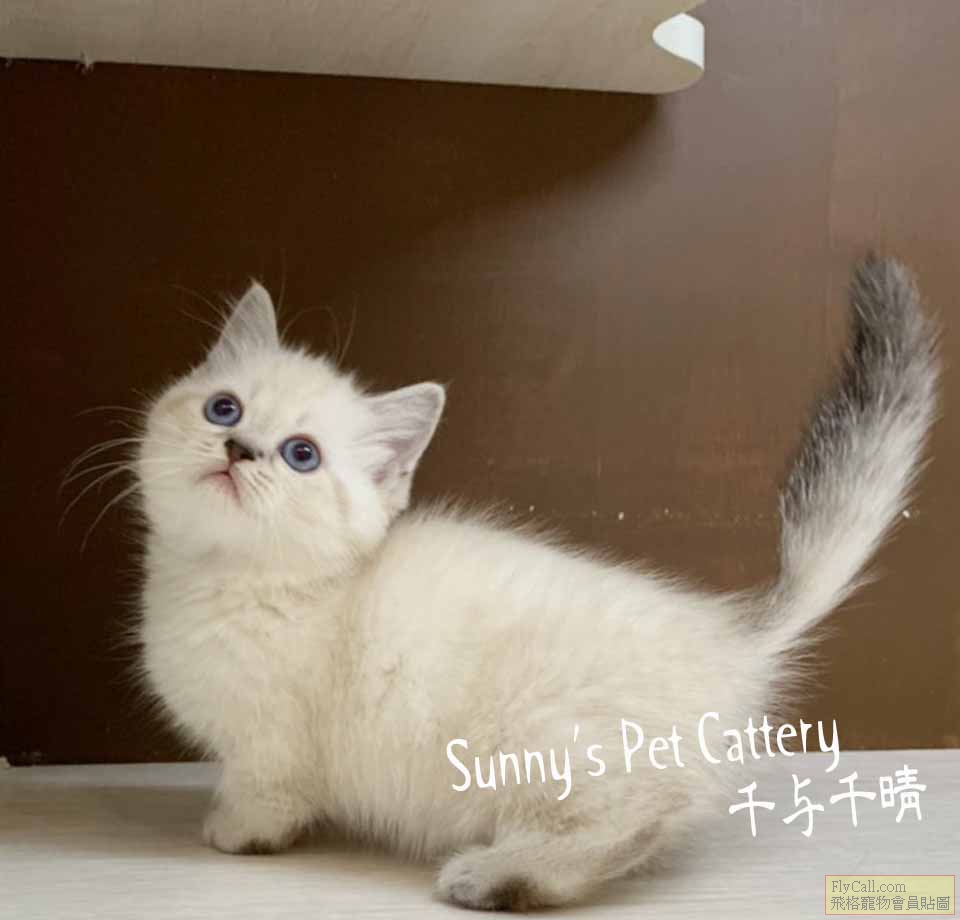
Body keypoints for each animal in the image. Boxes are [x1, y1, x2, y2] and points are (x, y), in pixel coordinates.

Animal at [134, 256, 938, 910]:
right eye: (224, 408)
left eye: (301, 455)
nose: (239, 449)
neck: (227, 580)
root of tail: (726, 636)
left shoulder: (273, 748)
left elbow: (262, 798)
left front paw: (231, 831)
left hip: (546, 738)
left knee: (634, 814)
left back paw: (498, 875)